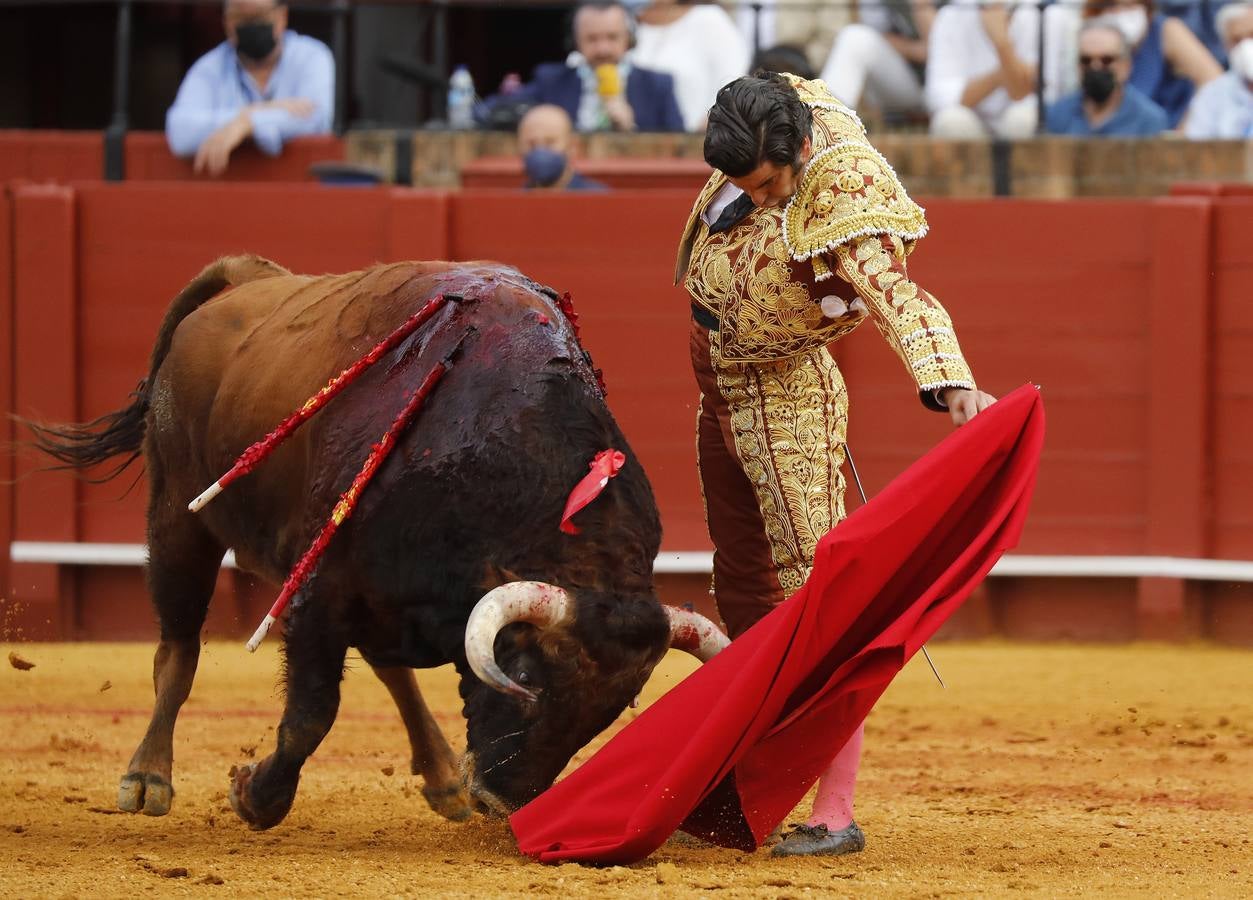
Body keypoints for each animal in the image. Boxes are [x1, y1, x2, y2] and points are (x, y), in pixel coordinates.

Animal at [31, 255, 726, 832]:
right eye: (526, 675)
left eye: (609, 710)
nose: (502, 802)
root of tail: (247, 279)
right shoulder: (320, 591)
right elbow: (311, 714)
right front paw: (253, 796)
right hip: (178, 516)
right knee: (177, 650)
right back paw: (147, 777)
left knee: (389, 669)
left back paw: (443, 779)